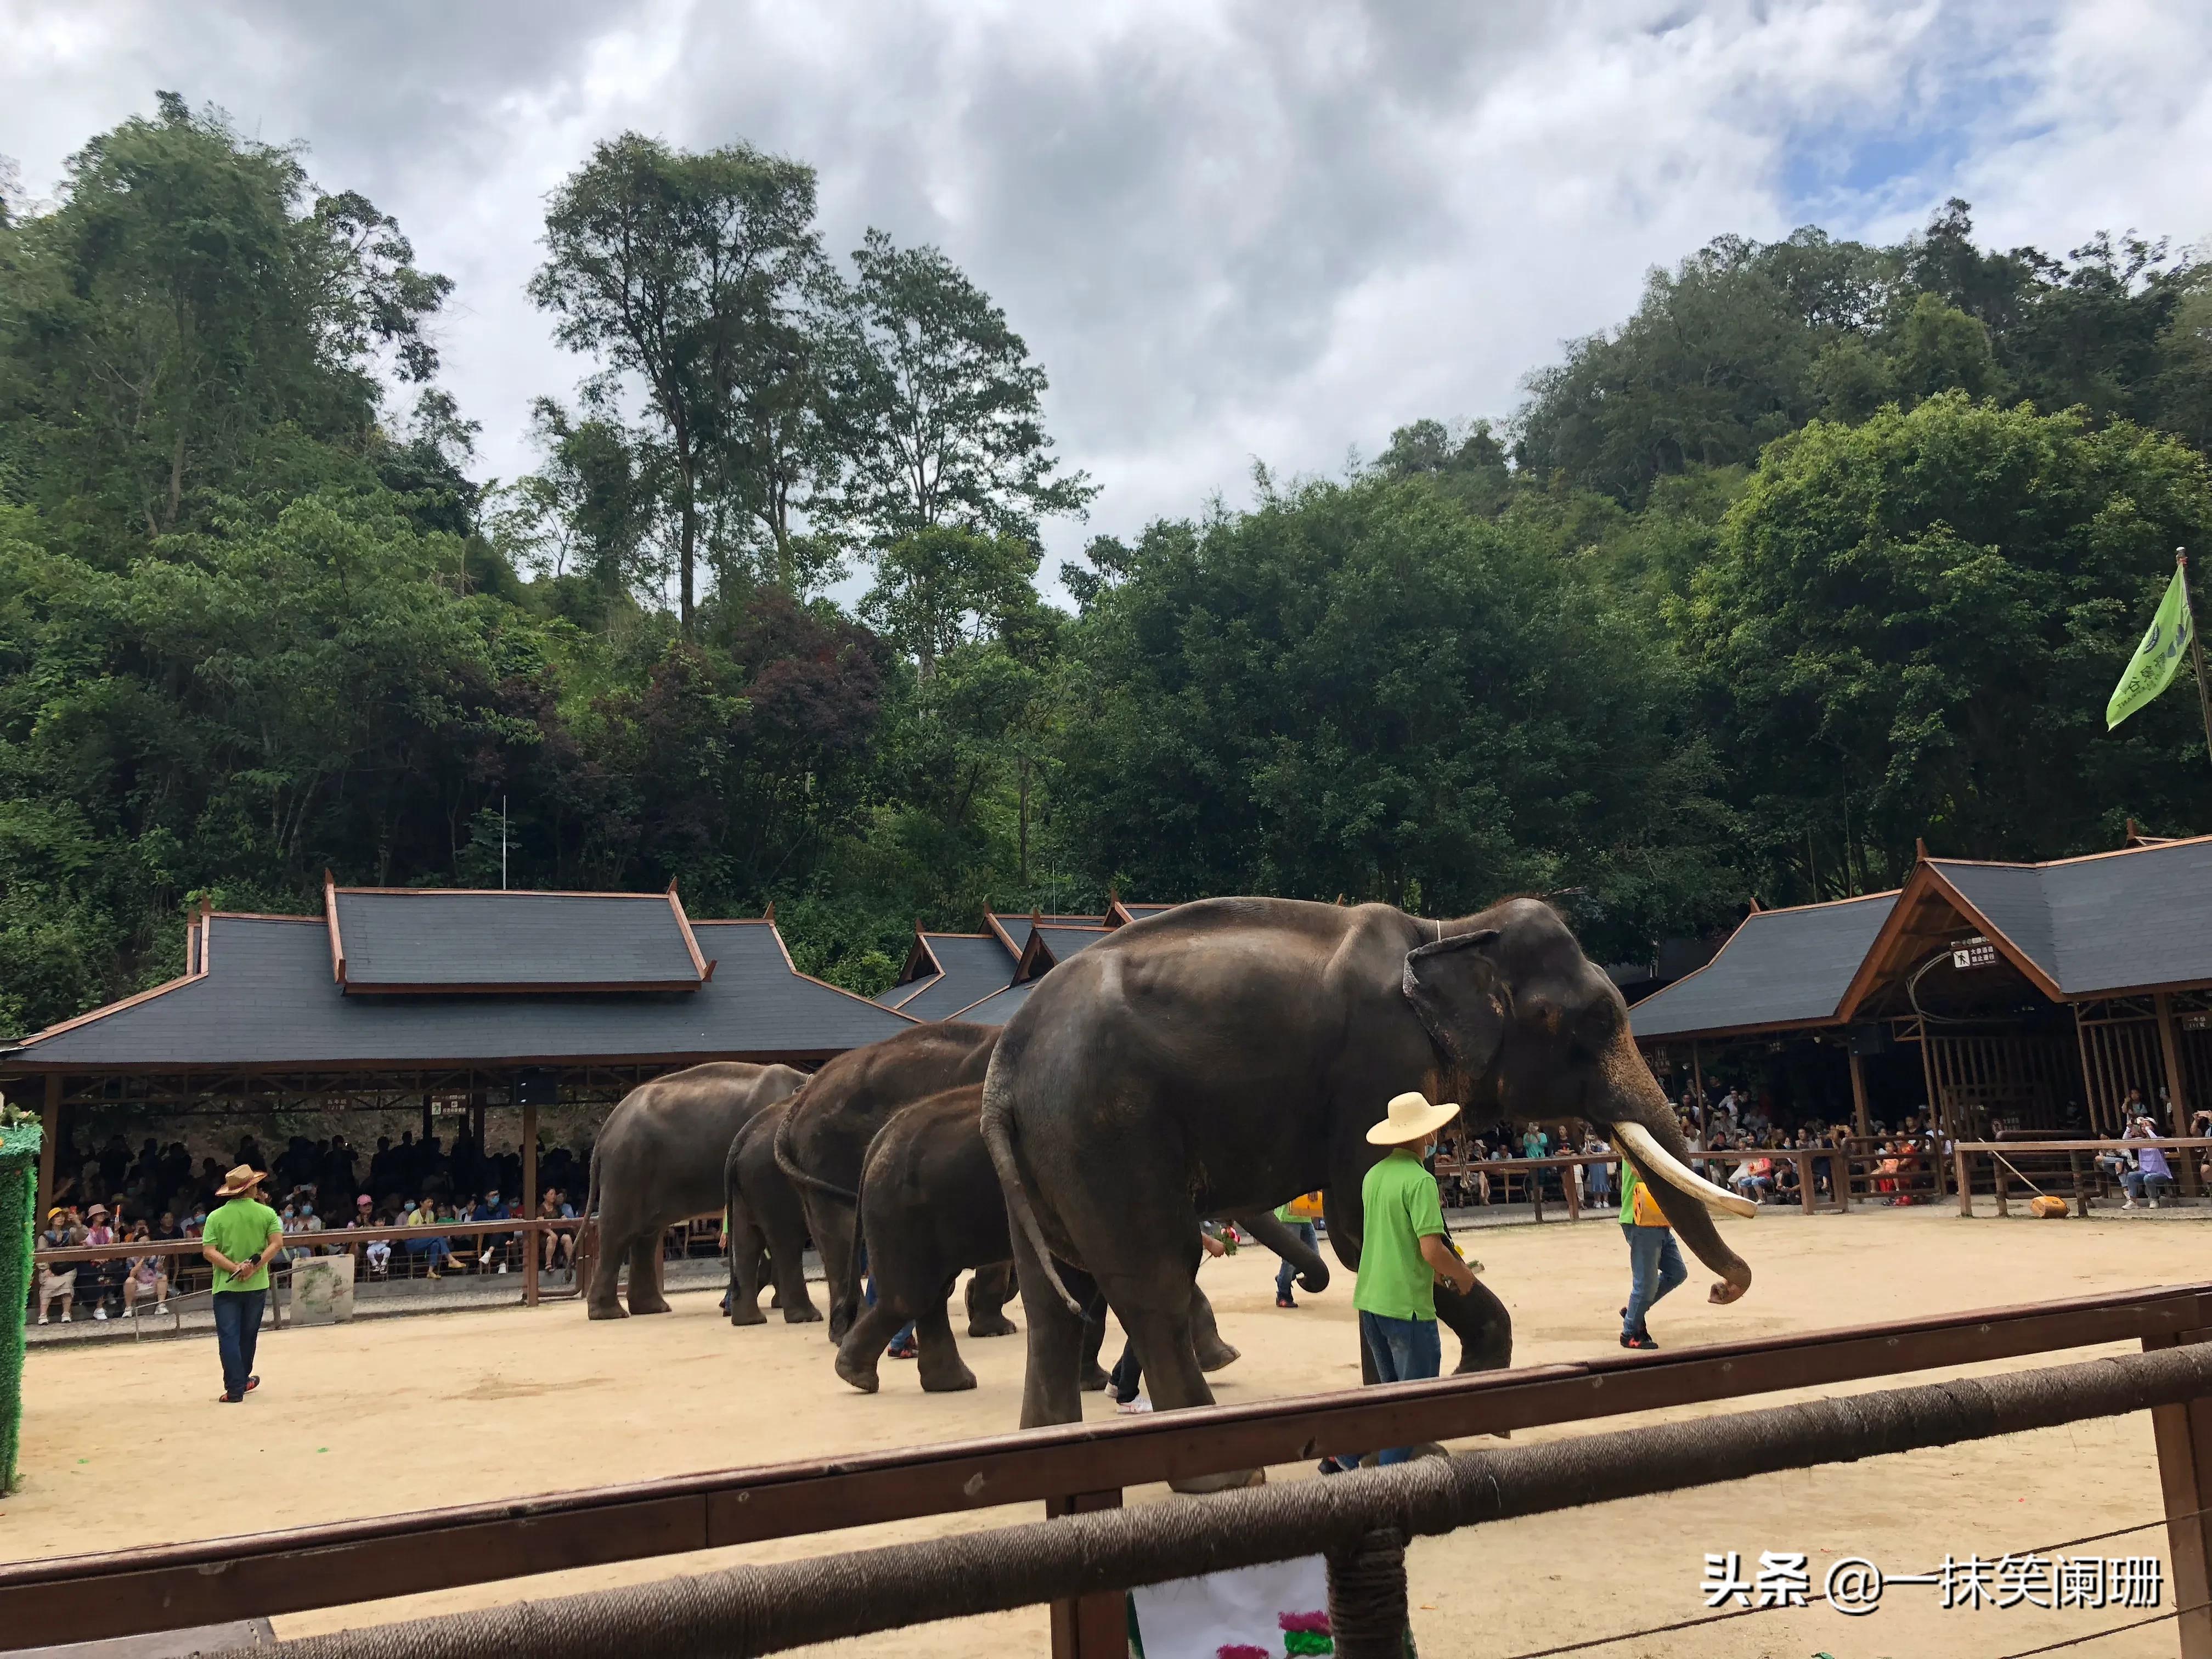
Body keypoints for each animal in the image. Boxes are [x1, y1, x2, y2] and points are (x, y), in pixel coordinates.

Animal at [583, 1060, 805, 1319]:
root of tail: (604, 1132)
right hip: (627, 1167)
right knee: (619, 1233)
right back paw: (610, 1313)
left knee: (646, 1236)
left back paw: (653, 1309)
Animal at [723, 1098, 826, 1325]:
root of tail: (742, 1138)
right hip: (772, 1183)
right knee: (788, 1241)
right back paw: (807, 1317)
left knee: (748, 1243)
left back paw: (749, 1320)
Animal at [836, 1084, 1334, 1397]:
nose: (1305, 1282)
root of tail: (878, 1141)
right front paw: (1224, 1360)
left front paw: (1091, 1381)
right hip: (901, 1213)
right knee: (911, 1294)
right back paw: (860, 1378)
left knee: (930, 1293)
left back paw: (946, 1382)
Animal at [980, 895, 1756, 1455]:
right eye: (1596, 1018)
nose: (1722, 1291)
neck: (1448, 931)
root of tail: (1006, 1061)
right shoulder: (1380, 1063)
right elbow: (1361, 1233)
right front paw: (1471, 1402)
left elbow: (1371, 1247)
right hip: (1107, 1128)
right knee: (1154, 1284)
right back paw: (1221, 1477)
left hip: (1049, 1149)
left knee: (1056, 1299)